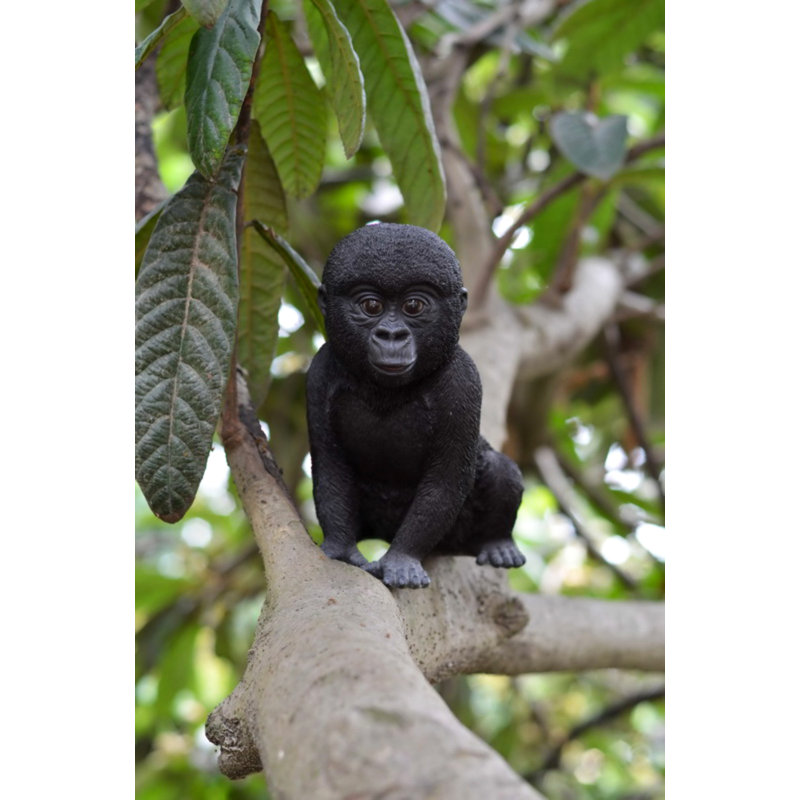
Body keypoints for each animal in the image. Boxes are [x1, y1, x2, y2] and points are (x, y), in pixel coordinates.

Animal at [306, 222, 525, 588]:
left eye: (413, 306)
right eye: (371, 306)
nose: (392, 335)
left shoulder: (462, 380)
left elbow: (447, 479)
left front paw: (401, 560)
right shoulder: (320, 371)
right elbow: (330, 464)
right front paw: (341, 550)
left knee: (500, 469)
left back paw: (499, 544)